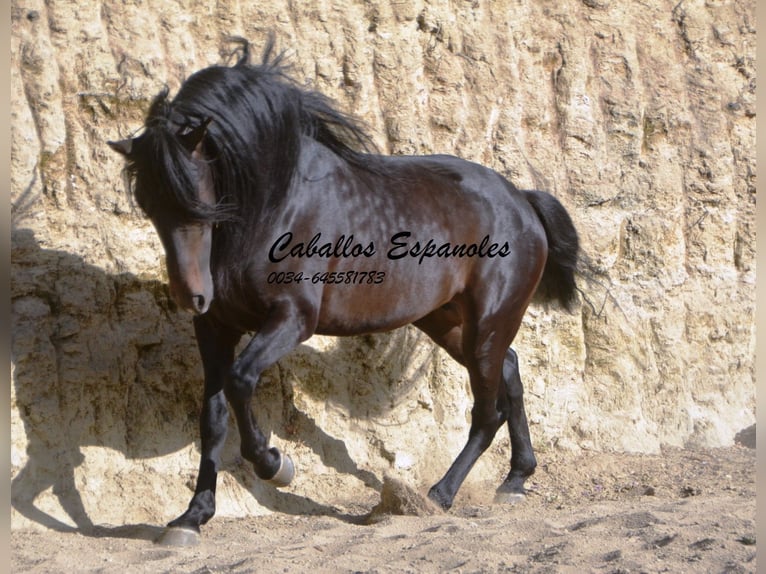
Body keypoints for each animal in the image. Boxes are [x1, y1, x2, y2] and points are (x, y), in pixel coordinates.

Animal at [106, 38, 576, 548]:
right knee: (510, 371)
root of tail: (522, 200)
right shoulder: (214, 328)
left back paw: (440, 494)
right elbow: (212, 418)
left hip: (487, 323)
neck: (273, 205)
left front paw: (276, 465)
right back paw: (515, 480)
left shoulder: (291, 319)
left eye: (198, 197)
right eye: (147, 202)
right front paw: (192, 517)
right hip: (449, 322)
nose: (192, 295)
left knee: (487, 412)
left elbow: (241, 381)